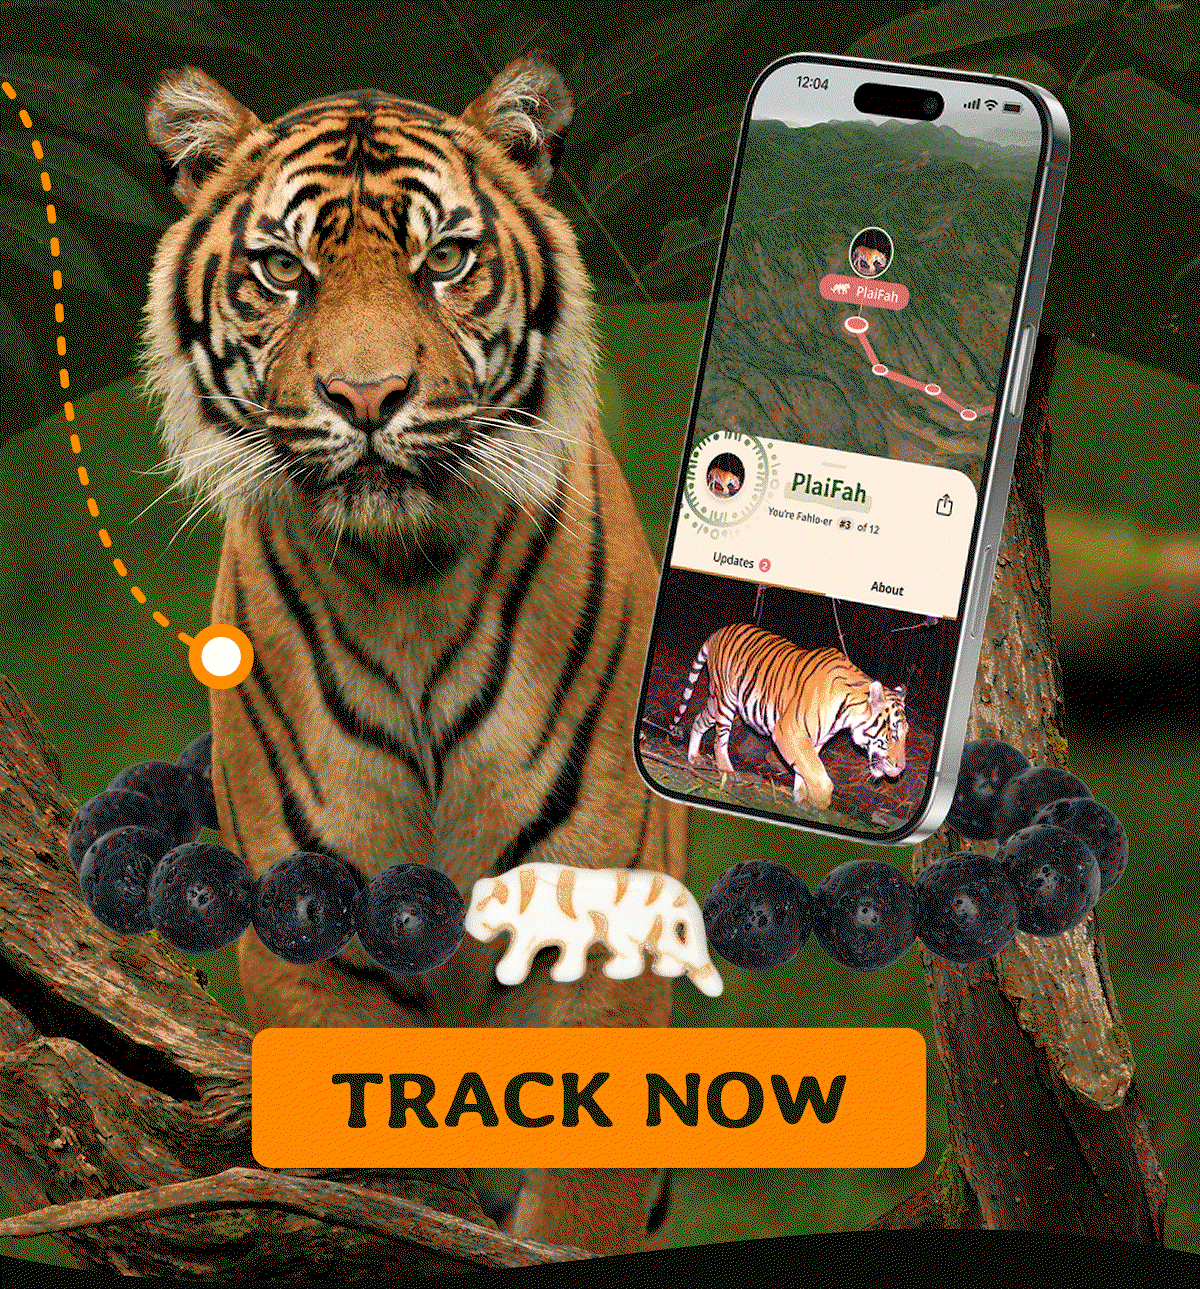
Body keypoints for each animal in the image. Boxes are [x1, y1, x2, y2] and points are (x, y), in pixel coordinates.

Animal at [141, 55, 687, 1257]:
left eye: (445, 261)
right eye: (283, 271)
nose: (366, 397)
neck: (408, 589)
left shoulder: (599, 937)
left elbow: (581, 1202)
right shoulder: (315, 948)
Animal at [670, 623, 907, 810]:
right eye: (893, 735)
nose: (901, 769)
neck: (848, 713)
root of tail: (720, 630)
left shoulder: (814, 740)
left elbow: (806, 770)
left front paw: (801, 798)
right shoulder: (789, 731)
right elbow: (817, 773)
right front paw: (819, 804)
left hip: (716, 700)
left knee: (699, 720)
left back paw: (693, 757)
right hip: (726, 701)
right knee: (720, 739)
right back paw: (726, 770)